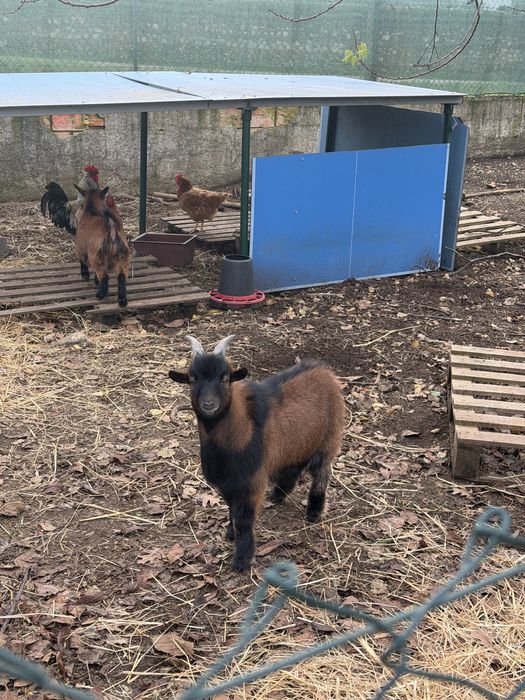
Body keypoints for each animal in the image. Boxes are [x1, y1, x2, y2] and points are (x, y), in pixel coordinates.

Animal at [168, 335, 345, 572]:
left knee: (321, 475)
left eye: (225, 379)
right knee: (293, 467)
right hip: (296, 444)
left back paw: (314, 511)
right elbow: (231, 510)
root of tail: (325, 371)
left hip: (329, 440)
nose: (209, 404)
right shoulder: (229, 482)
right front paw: (230, 533)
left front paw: (242, 559)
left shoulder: (251, 480)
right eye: (192, 379)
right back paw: (278, 495)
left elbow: (244, 521)